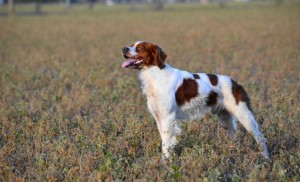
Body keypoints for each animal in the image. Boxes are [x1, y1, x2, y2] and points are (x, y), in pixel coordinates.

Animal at [120, 41, 270, 159]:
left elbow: (166, 144)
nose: (124, 49)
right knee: (235, 137)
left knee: (260, 138)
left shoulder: (168, 117)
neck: (155, 75)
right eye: (131, 45)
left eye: (140, 48)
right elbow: (165, 141)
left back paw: (266, 159)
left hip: (244, 115)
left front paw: (165, 163)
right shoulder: (158, 117)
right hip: (225, 118)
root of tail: (236, 83)